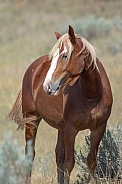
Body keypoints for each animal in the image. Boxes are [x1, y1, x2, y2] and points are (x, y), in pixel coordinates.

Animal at [8, 25, 113, 183]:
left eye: (64, 56)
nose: (47, 86)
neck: (92, 95)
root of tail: (33, 67)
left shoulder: (99, 128)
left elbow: (91, 161)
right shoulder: (71, 129)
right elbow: (69, 163)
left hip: (60, 127)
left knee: (58, 155)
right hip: (32, 119)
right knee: (30, 154)